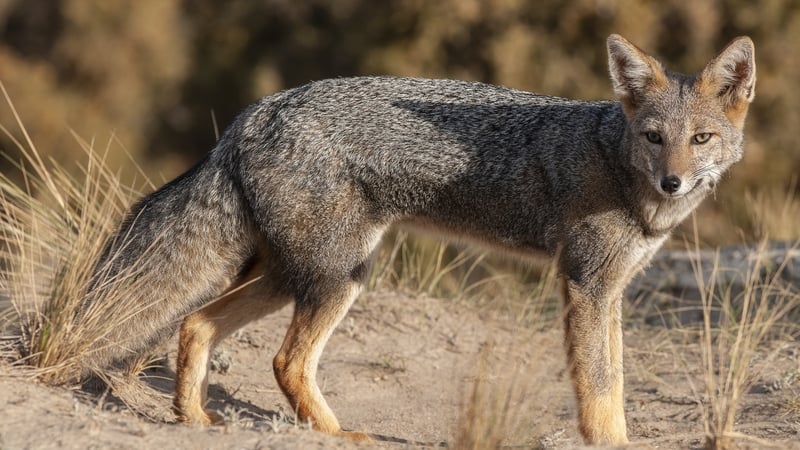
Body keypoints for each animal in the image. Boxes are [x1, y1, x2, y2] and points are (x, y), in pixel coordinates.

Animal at [85, 34, 755, 445]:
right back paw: (338, 436)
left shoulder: (610, 290)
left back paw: (193, 417)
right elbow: (598, 385)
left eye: (700, 139)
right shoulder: (586, 283)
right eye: (653, 137)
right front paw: (609, 442)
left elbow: (612, 379)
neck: (615, 162)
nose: (672, 182)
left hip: (289, 276)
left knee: (196, 323)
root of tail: (254, 112)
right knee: (285, 361)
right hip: (339, 276)